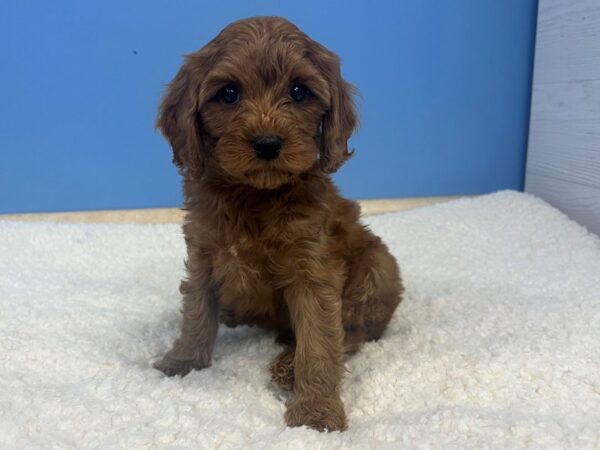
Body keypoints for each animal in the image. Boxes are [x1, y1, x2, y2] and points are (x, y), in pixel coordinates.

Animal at [154, 15, 404, 432]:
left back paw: (288, 367)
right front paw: (184, 361)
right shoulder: (204, 250)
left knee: (352, 331)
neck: (255, 195)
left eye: (299, 92)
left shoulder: (312, 268)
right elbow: (197, 310)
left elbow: (320, 342)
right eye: (229, 94)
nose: (268, 143)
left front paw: (316, 411)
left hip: (378, 264)